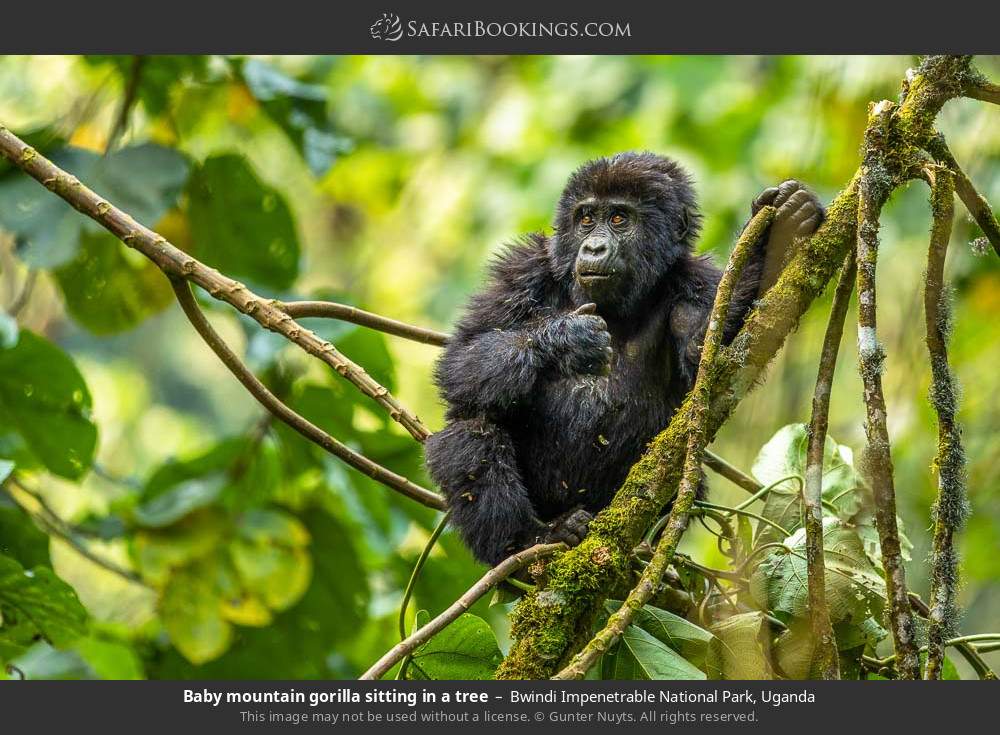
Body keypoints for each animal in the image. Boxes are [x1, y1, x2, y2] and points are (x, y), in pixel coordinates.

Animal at [426, 151, 824, 564]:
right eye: (586, 219)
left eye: (619, 219)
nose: (594, 248)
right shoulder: (522, 269)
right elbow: (462, 360)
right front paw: (568, 339)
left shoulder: (697, 281)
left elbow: (711, 356)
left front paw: (773, 239)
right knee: (470, 428)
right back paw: (530, 538)